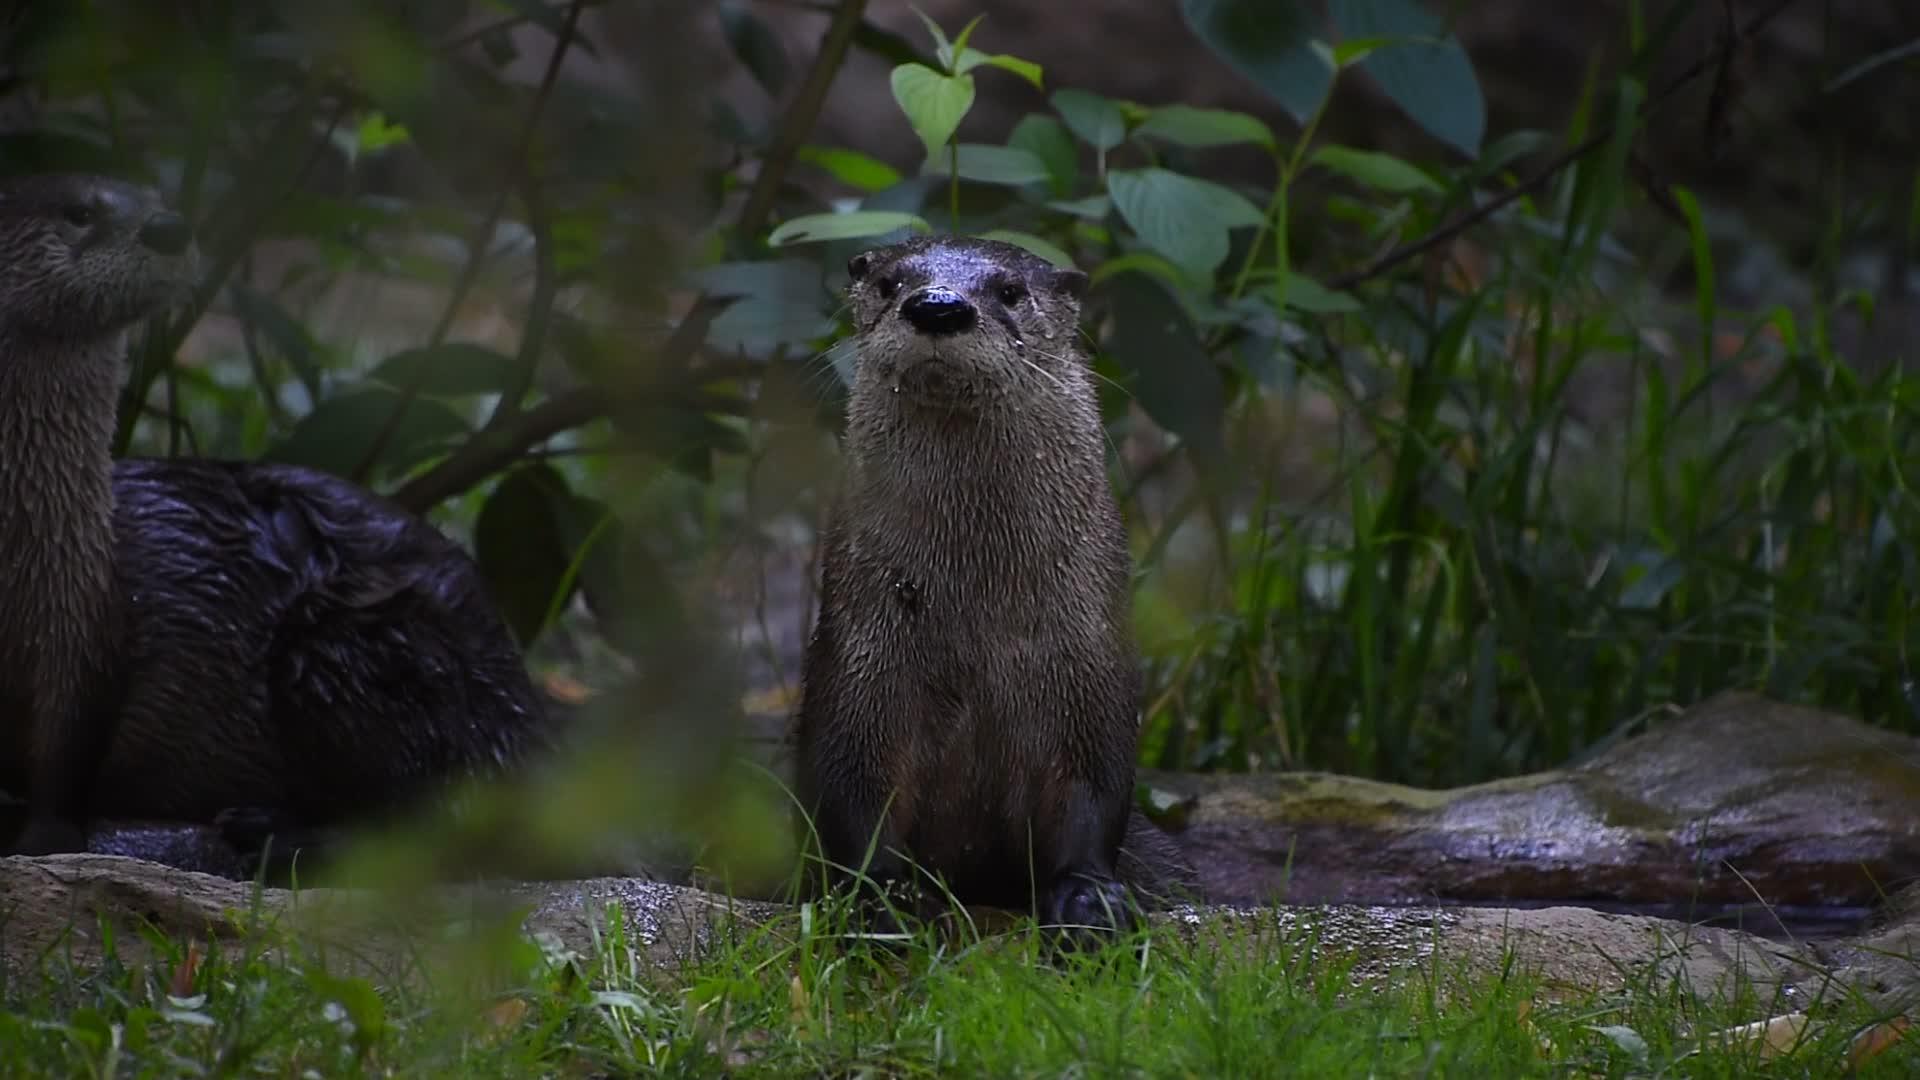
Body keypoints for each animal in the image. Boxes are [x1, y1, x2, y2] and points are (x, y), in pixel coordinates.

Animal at [787, 233, 1190, 933]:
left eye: (1009, 291)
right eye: (891, 283)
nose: (938, 306)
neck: (975, 626)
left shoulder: (1091, 664)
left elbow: (1093, 789)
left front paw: (1088, 898)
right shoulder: (860, 657)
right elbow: (851, 786)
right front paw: (881, 898)